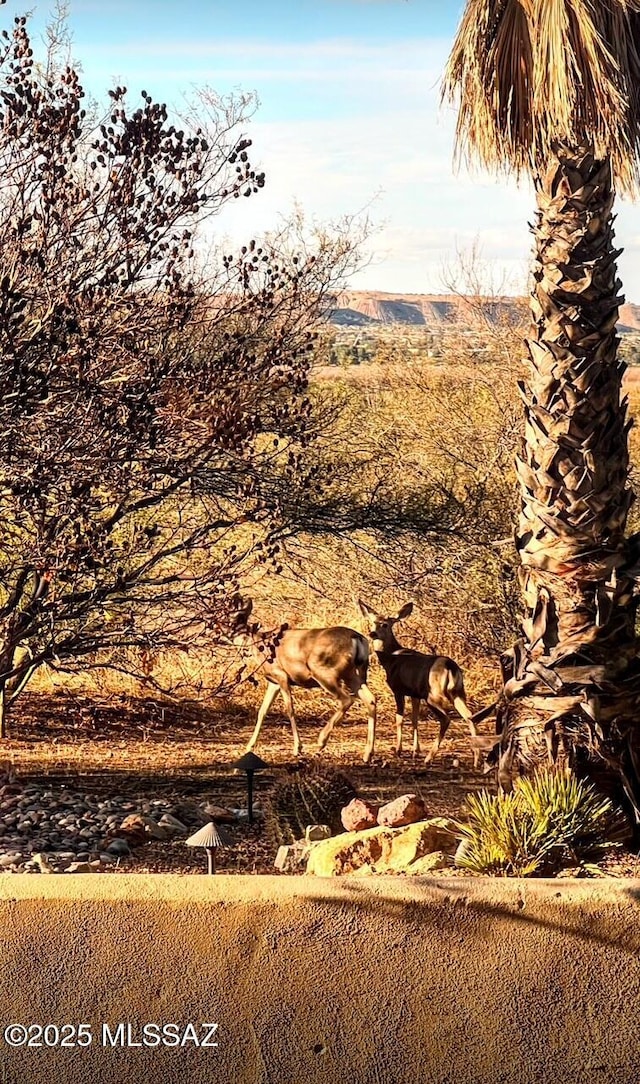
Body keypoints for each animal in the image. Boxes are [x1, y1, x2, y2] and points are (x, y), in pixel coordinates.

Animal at [227, 598, 379, 767]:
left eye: (235, 622)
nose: (224, 636)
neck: (261, 647)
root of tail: (357, 638)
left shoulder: (282, 676)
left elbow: (290, 710)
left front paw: (297, 748)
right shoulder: (273, 682)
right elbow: (262, 711)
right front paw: (249, 745)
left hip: (324, 671)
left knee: (346, 699)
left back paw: (321, 741)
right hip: (355, 675)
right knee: (370, 699)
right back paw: (367, 754)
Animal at [355, 602, 485, 763]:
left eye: (385, 624)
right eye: (372, 622)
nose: (372, 633)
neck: (391, 658)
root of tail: (450, 667)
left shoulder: (398, 689)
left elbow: (400, 718)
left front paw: (398, 750)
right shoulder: (414, 694)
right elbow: (414, 719)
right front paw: (415, 751)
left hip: (433, 695)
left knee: (446, 719)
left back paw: (429, 757)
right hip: (458, 693)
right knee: (469, 716)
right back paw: (477, 758)